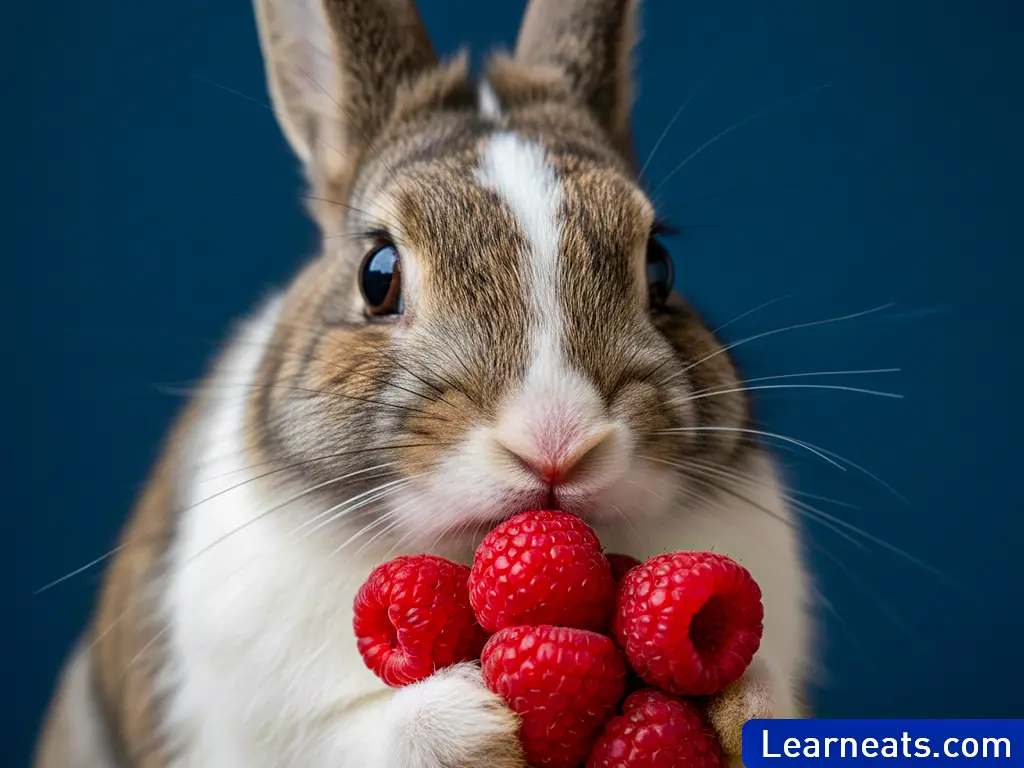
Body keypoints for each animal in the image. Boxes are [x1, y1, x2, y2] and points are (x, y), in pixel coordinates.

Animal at [34, 0, 814, 766]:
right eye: (377, 275)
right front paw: (475, 723)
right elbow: (364, 736)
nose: (556, 442)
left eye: (659, 268)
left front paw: (747, 704)